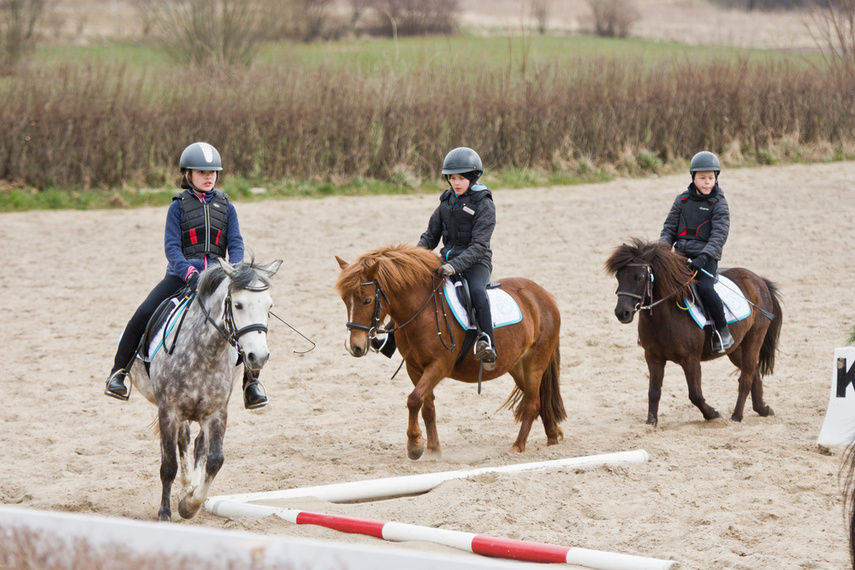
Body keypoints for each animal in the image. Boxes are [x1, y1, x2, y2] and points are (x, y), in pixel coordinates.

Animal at [130, 258, 282, 520]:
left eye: (269, 306)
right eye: (238, 305)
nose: (259, 356)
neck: (205, 354)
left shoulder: (217, 413)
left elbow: (215, 460)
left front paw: (190, 504)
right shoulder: (168, 411)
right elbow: (168, 465)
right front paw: (165, 512)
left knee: (198, 443)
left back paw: (191, 484)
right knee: (182, 441)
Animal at [336, 244, 568, 458]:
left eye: (367, 300)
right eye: (345, 301)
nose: (354, 347)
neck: (421, 311)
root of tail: (543, 295)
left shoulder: (439, 365)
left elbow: (414, 399)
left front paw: (414, 445)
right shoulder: (414, 367)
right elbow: (426, 406)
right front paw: (432, 449)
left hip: (534, 363)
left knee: (531, 403)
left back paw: (518, 447)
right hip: (517, 365)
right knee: (540, 399)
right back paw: (553, 438)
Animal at [600, 236, 784, 426]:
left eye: (640, 277)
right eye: (618, 276)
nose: (622, 313)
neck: (665, 315)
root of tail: (758, 280)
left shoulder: (691, 359)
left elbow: (695, 394)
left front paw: (713, 414)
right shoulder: (653, 357)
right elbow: (654, 392)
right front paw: (651, 422)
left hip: (754, 338)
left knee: (746, 376)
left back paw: (737, 416)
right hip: (736, 348)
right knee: (754, 372)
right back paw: (762, 409)